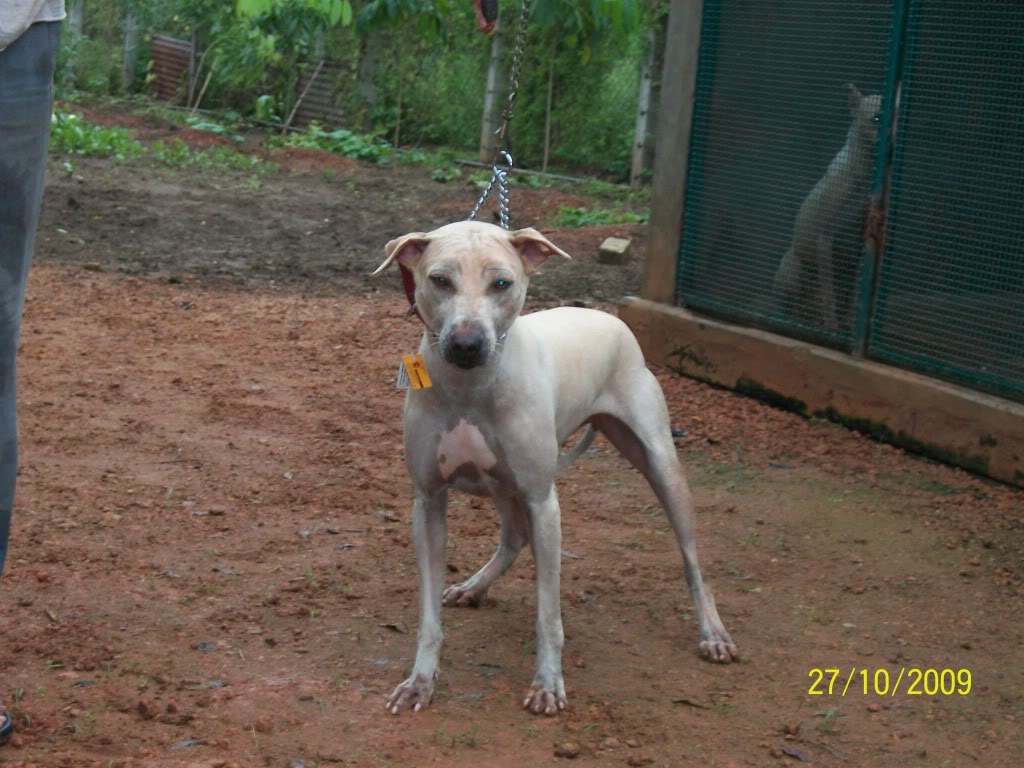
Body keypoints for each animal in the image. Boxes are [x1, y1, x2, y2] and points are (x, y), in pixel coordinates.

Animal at [774, 83, 880, 331]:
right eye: (876, 118)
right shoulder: (825, 240)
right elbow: (828, 293)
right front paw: (832, 325)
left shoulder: (859, 244)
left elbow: (853, 295)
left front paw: (849, 323)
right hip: (793, 269)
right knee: (794, 308)